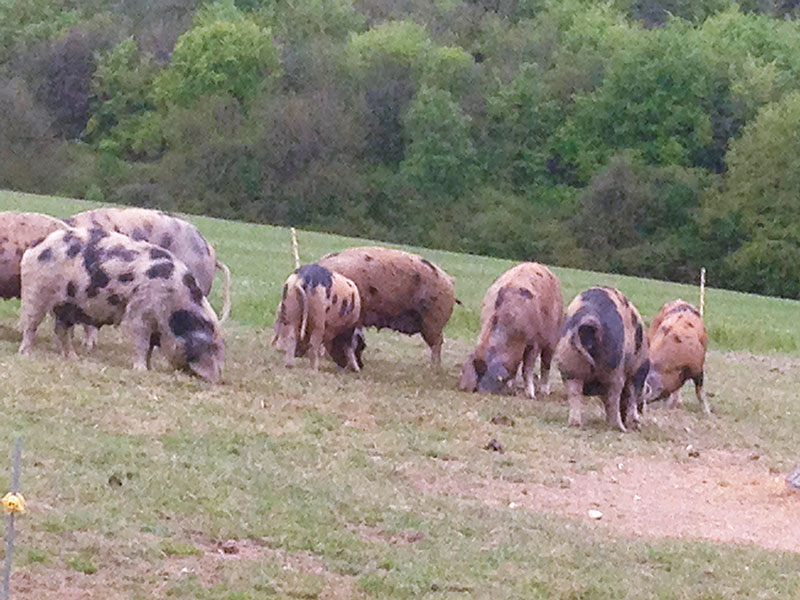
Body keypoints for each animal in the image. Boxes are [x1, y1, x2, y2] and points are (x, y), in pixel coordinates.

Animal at [18, 227, 225, 382]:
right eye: (212, 346)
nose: (217, 379)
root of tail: (35, 246)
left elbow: (149, 348)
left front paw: (149, 368)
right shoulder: (140, 312)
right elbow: (142, 344)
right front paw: (141, 370)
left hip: (67, 306)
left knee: (60, 330)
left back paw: (73, 358)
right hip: (36, 292)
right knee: (30, 325)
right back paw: (26, 354)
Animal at [460, 262, 564, 398]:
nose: (482, 391)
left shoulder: (534, 341)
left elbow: (527, 367)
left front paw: (531, 395)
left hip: (554, 336)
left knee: (546, 363)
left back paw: (544, 391)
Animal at [556, 288, 648, 432]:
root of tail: (590, 319)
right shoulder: (638, 373)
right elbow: (631, 397)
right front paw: (636, 425)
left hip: (569, 365)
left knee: (574, 393)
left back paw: (575, 424)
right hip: (614, 368)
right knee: (614, 395)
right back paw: (620, 428)